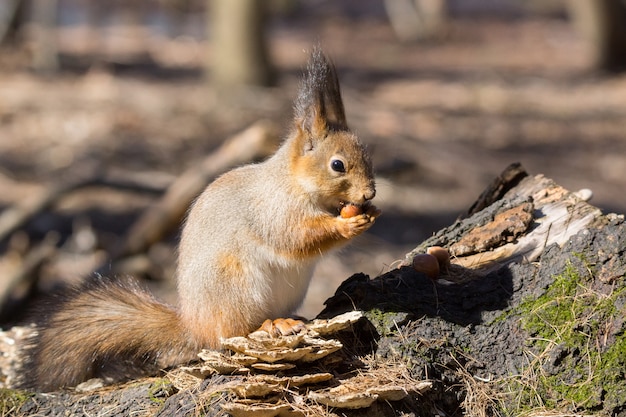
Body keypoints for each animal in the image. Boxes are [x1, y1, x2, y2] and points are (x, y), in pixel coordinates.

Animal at [19, 47, 378, 392]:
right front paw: (346, 224)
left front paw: (368, 214)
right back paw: (271, 324)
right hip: (233, 284)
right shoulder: (271, 211)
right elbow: (295, 238)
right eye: (337, 165)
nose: (370, 193)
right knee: (232, 331)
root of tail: (193, 324)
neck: (295, 183)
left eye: (368, 156)